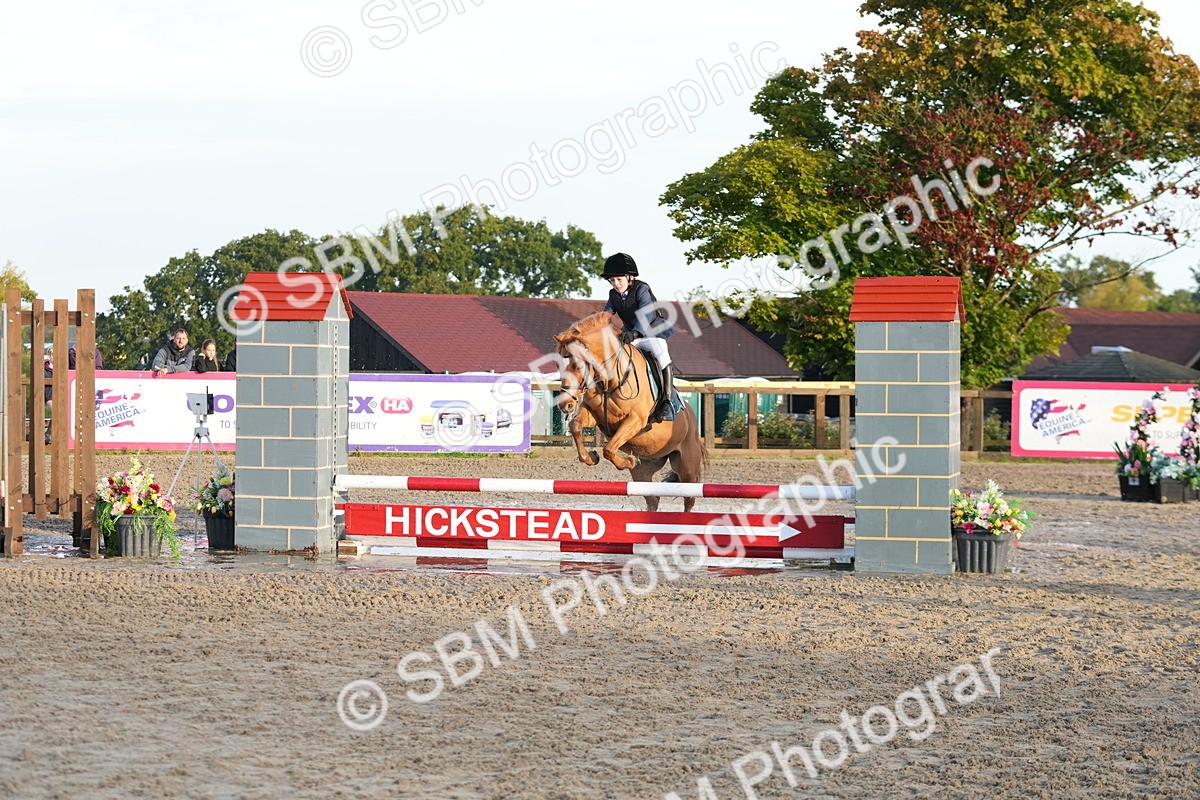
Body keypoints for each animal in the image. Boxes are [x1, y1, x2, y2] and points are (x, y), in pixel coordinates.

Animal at [553, 312, 709, 512]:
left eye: (578, 366)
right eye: (558, 366)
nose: (565, 405)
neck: (609, 379)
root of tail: (691, 416)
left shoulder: (635, 420)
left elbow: (609, 449)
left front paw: (628, 461)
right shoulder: (594, 415)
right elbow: (575, 426)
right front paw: (591, 457)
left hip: (687, 466)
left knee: (689, 498)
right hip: (646, 468)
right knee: (653, 498)